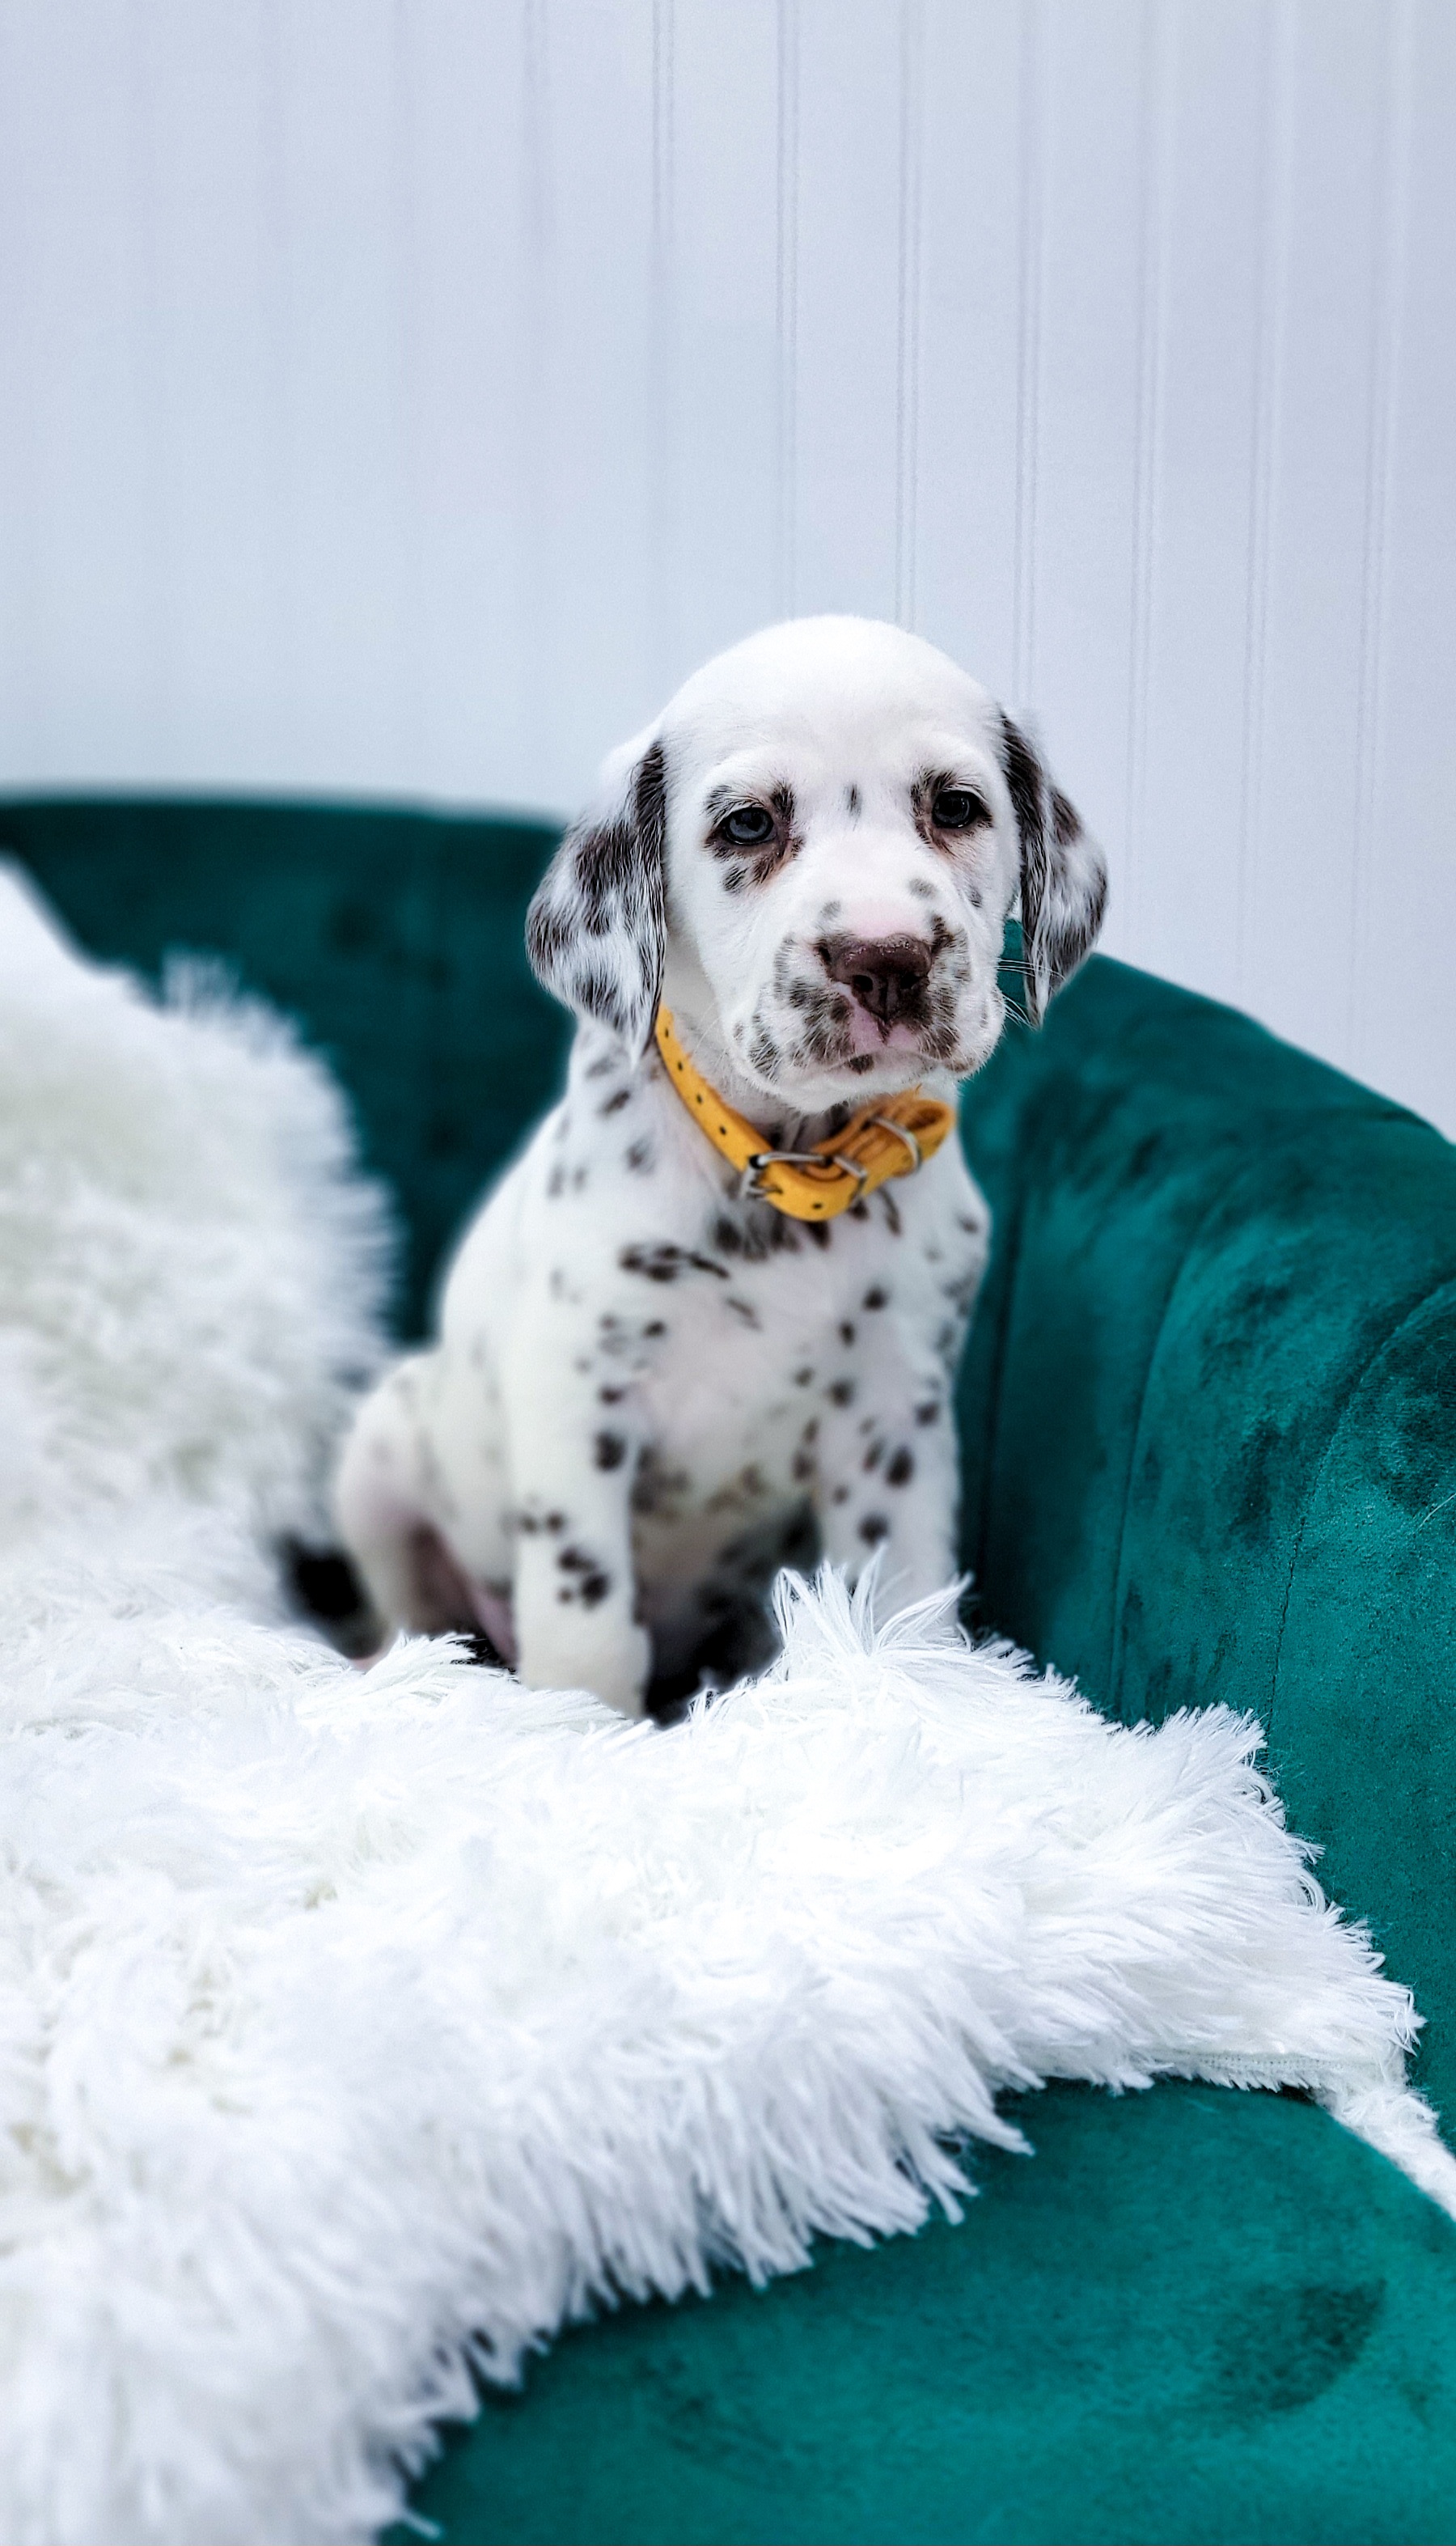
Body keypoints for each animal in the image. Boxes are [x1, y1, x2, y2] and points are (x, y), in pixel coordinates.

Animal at [334, 616, 1105, 1715]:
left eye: (957, 806)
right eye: (748, 826)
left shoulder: (895, 1415)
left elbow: (901, 1596)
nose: (887, 959)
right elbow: (586, 1621)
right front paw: (581, 1726)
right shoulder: (576, 1391)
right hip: (381, 1461)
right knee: (411, 1616)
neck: (787, 1167)